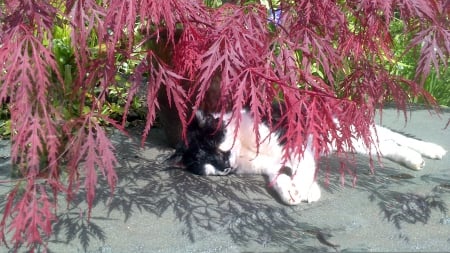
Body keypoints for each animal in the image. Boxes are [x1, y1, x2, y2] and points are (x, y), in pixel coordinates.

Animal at [171, 108, 448, 206]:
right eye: (205, 162)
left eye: (214, 147)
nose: (225, 166)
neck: (244, 149)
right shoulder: (271, 166)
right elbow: (279, 177)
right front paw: (291, 192)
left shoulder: (296, 139)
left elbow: (303, 167)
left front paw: (305, 189)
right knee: (387, 145)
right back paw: (413, 158)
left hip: (347, 131)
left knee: (389, 136)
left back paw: (429, 150)